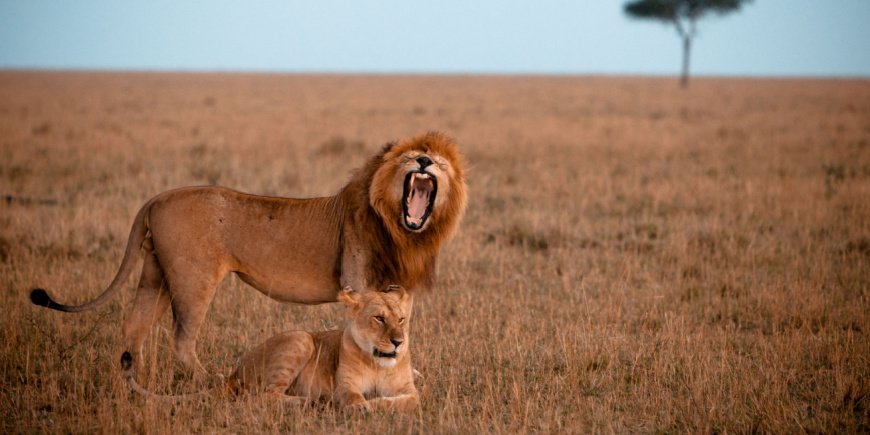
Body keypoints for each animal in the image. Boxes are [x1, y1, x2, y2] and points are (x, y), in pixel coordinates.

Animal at [30, 131, 466, 376]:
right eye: (410, 158)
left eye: (439, 162)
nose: (425, 160)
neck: (401, 229)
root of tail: (157, 197)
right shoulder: (355, 282)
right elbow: (362, 330)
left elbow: (400, 325)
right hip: (193, 279)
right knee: (181, 340)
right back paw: (211, 383)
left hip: (155, 274)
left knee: (133, 328)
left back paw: (132, 386)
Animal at [122, 285, 418, 412]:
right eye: (379, 318)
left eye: (401, 319)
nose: (398, 341)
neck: (377, 362)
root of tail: (236, 372)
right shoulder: (345, 387)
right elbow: (355, 399)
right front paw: (365, 407)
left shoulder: (409, 390)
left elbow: (407, 401)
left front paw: (379, 403)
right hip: (301, 339)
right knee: (260, 397)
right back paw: (308, 401)